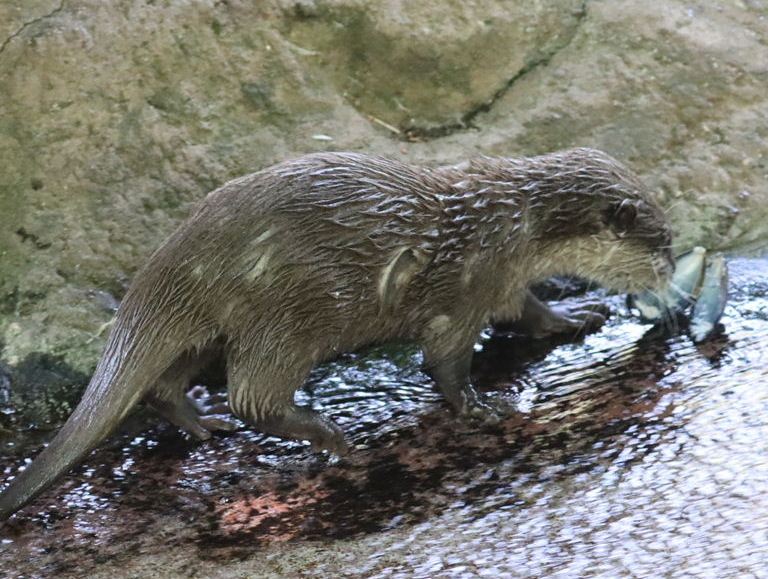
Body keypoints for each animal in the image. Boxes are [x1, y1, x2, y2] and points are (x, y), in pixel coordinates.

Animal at [0, 148, 673, 519]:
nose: (672, 275)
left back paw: (202, 422)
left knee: (167, 384)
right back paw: (333, 436)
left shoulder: (503, 282)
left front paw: (579, 317)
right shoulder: (468, 286)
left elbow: (530, 312)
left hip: (210, 329)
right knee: (253, 396)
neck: (514, 224)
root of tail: (175, 259)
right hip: (286, 315)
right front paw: (487, 406)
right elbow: (446, 363)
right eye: (663, 244)